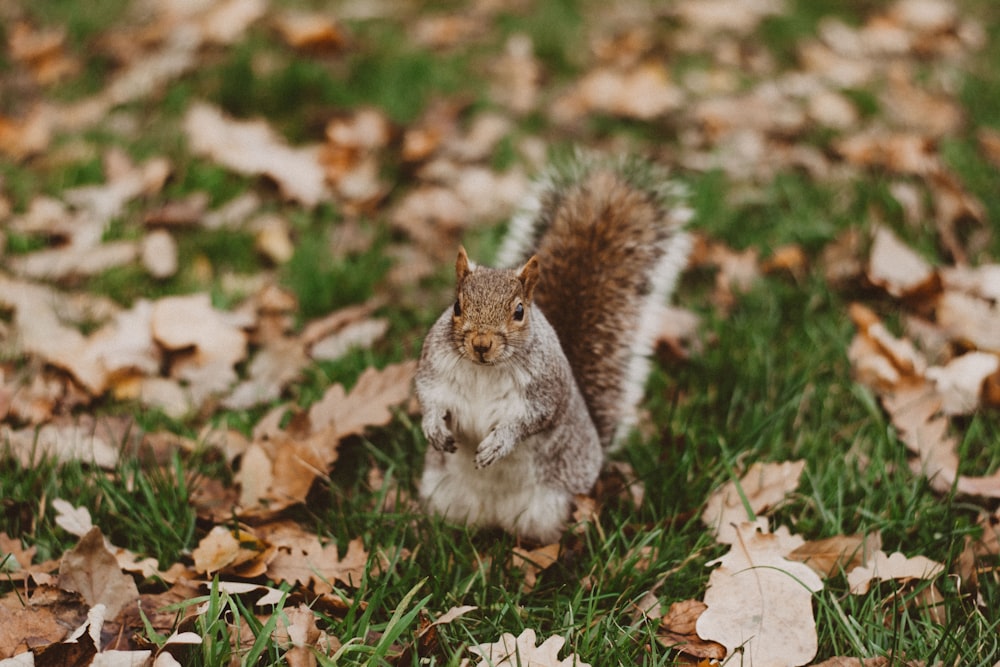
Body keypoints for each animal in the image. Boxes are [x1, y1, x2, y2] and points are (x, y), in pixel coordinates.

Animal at [412, 154, 688, 544]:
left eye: (519, 312)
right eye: (456, 306)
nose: (481, 344)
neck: (484, 369)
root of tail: (493, 516)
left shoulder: (545, 390)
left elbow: (531, 419)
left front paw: (500, 443)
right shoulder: (434, 369)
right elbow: (429, 396)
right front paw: (434, 428)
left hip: (552, 505)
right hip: (443, 494)